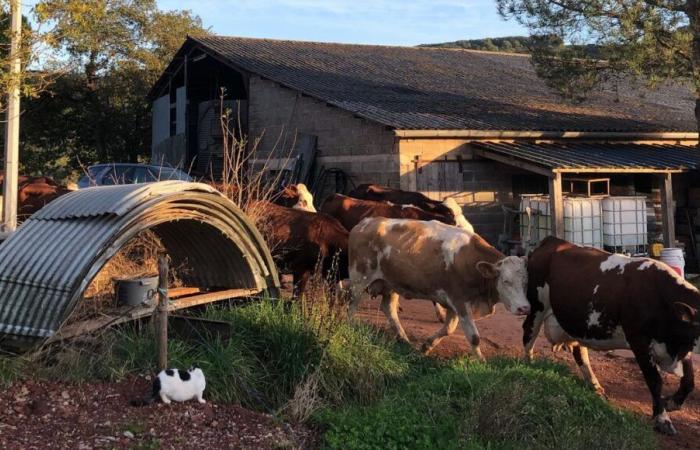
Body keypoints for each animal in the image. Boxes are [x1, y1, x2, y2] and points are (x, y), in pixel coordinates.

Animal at [348, 218, 532, 358]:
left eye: (525, 282)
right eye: (506, 281)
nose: (524, 308)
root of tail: (364, 223)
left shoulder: (453, 304)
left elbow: (448, 329)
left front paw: (426, 346)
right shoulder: (459, 301)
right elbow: (474, 337)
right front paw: (481, 361)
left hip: (391, 285)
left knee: (388, 308)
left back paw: (404, 339)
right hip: (359, 281)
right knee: (351, 306)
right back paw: (349, 327)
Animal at [524, 237, 700, 434]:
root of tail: (554, 241)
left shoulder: (683, 345)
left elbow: (689, 380)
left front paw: (672, 403)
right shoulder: (638, 341)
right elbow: (655, 380)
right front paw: (662, 418)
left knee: (579, 351)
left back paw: (594, 385)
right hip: (537, 306)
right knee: (528, 334)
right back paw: (529, 366)